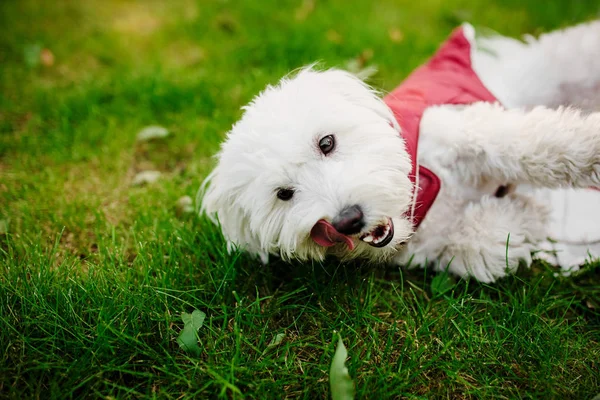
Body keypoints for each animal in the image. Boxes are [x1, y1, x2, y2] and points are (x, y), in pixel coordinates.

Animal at [199, 21, 600, 282]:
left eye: (326, 142)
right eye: (283, 194)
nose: (348, 220)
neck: (419, 197)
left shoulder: (468, 133)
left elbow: (535, 144)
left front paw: (586, 153)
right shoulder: (436, 249)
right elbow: (480, 248)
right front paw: (523, 210)